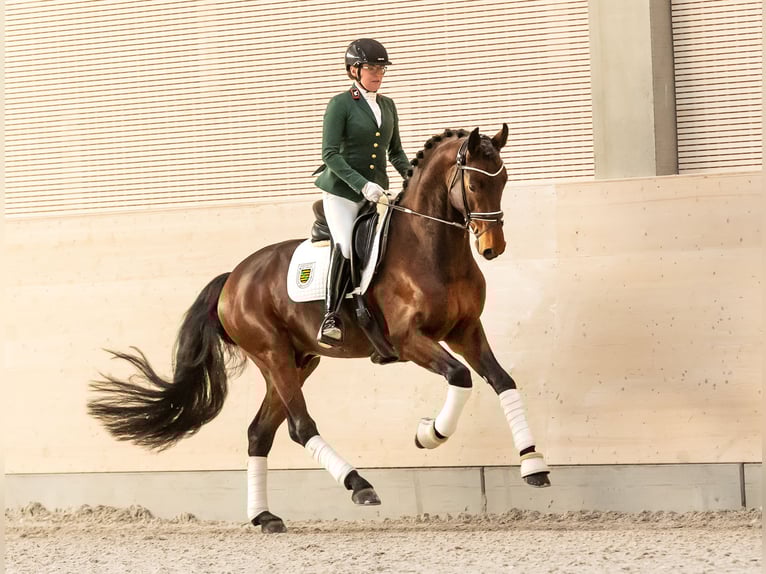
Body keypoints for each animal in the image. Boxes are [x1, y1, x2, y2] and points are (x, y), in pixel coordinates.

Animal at [87, 125, 550, 533]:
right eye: (473, 184)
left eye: (503, 180)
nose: (492, 248)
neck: (432, 249)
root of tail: (234, 277)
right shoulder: (408, 341)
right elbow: (460, 376)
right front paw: (429, 434)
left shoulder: (466, 331)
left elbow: (502, 381)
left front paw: (533, 464)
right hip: (273, 354)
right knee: (300, 427)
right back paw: (359, 486)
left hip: (298, 360)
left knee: (260, 433)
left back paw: (265, 517)